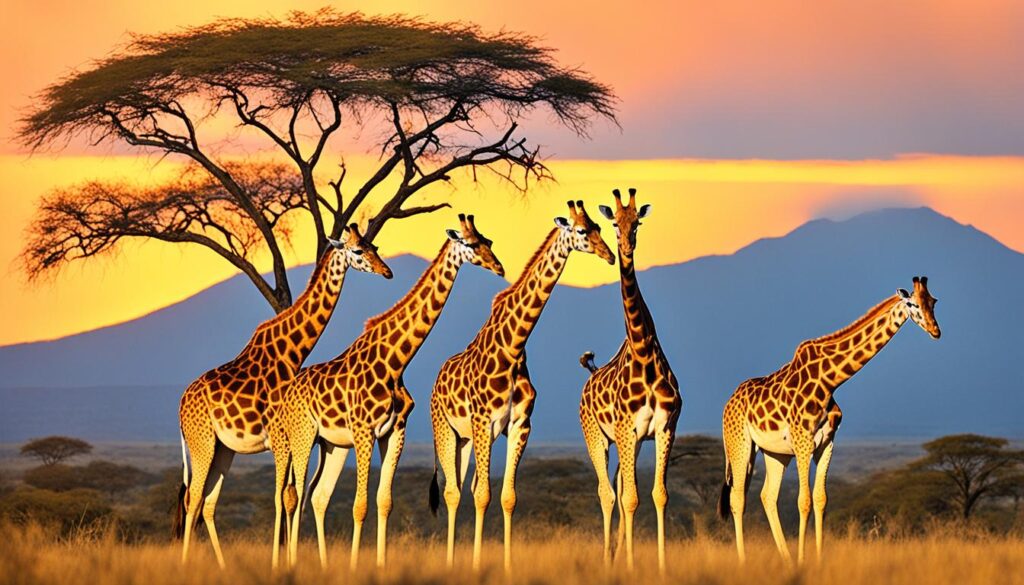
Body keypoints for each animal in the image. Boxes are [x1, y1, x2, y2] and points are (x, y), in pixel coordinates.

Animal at [175, 224, 392, 568]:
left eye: (376, 247)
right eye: (358, 251)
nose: (387, 271)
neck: (293, 352)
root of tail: (181, 405)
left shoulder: (297, 439)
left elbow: (294, 496)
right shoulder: (281, 437)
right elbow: (283, 496)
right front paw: (281, 562)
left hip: (224, 449)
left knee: (207, 501)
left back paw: (220, 564)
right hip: (202, 441)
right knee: (192, 496)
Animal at [272, 214, 505, 570]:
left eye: (488, 241)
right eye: (470, 243)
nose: (499, 266)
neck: (396, 362)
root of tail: (286, 395)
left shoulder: (394, 430)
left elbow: (384, 501)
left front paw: (380, 565)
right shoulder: (364, 430)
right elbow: (360, 505)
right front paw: (355, 566)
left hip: (331, 444)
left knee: (317, 495)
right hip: (301, 435)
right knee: (291, 495)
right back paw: (290, 563)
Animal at [428, 200, 615, 572]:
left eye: (600, 228)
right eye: (582, 231)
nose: (610, 255)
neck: (513, 347)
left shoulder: (520, 425)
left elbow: (506, 496)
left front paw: (506, 565)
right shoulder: (484, 422)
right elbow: (483, 494)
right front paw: (475, 565)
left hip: (466, 440)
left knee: (465, 485)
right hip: (446, 429)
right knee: (452, 491)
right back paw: (451, 561)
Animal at [577, 188, 681, 572]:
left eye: (636, 222)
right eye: (613, 223)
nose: (624, 246)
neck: (643, 353)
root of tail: (590, 375)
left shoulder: (665, 426)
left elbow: (658, 495)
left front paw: (662, 565)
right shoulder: (624, 429)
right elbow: (631, 499)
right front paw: (632, 565)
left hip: (630, 442)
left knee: (620, 490)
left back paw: (617, 554)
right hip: (597, 436)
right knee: (607, 494)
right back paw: (609, 559)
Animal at [719, 276, 941, 563]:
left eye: (933, 302)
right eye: (913, 304)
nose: (935, 330)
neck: (829, 381)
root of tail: (728, 404)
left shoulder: (827, 443)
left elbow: (820, 498)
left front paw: (816, 559)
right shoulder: (803, 442)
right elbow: (803, 500)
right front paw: (803, 561)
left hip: (775, 452)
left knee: (767, 496)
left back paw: (785, 558)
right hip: (740, 444)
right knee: (737, 498)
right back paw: (744, 560)